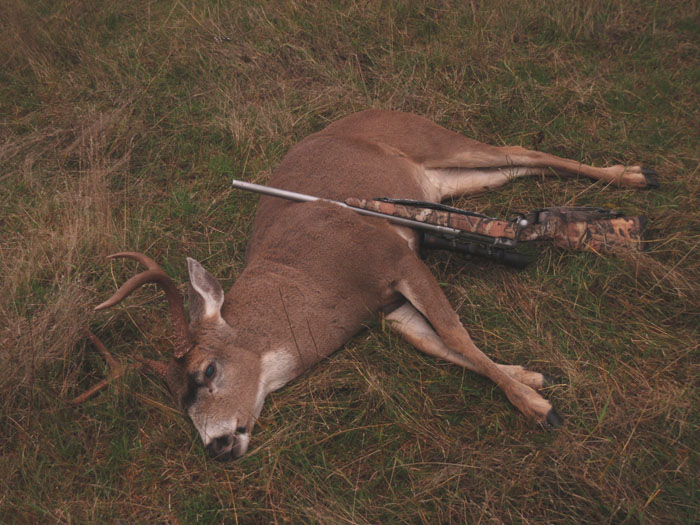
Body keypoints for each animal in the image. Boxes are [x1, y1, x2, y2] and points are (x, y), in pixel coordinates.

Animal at [89, 109, 656, 458]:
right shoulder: (388, 309)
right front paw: (532, 378)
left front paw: (538, 410)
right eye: (177, 401)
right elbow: (438, 344)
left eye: (207, 371)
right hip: (443, 182)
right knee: (512, 167)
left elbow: (454, 334)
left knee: (519, 150)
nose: (217, 448)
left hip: (436, 142)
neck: (313, 284)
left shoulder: (394, 258)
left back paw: (635, 176)